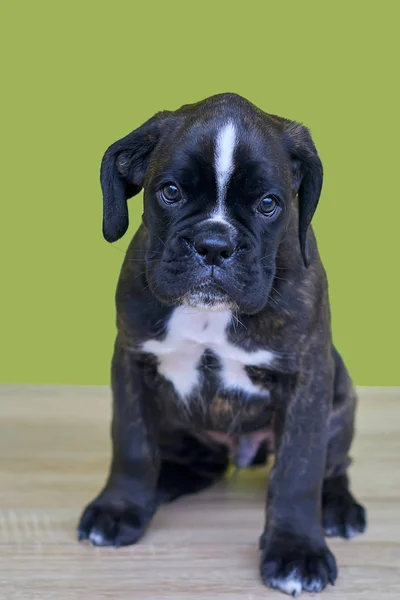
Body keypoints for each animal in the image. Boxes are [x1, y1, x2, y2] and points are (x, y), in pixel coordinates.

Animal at [77, 92, 366, 596]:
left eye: (269, 204)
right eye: (171, 192)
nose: (214, 244)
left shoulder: (306, 380)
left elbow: (298, 470)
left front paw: (296, 550)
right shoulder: (131, 362)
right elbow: (131, 443)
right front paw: (120, 508)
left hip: (340, 404)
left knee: (333, 465)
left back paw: (339, 507)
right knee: (193, 461)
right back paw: (162, 483)